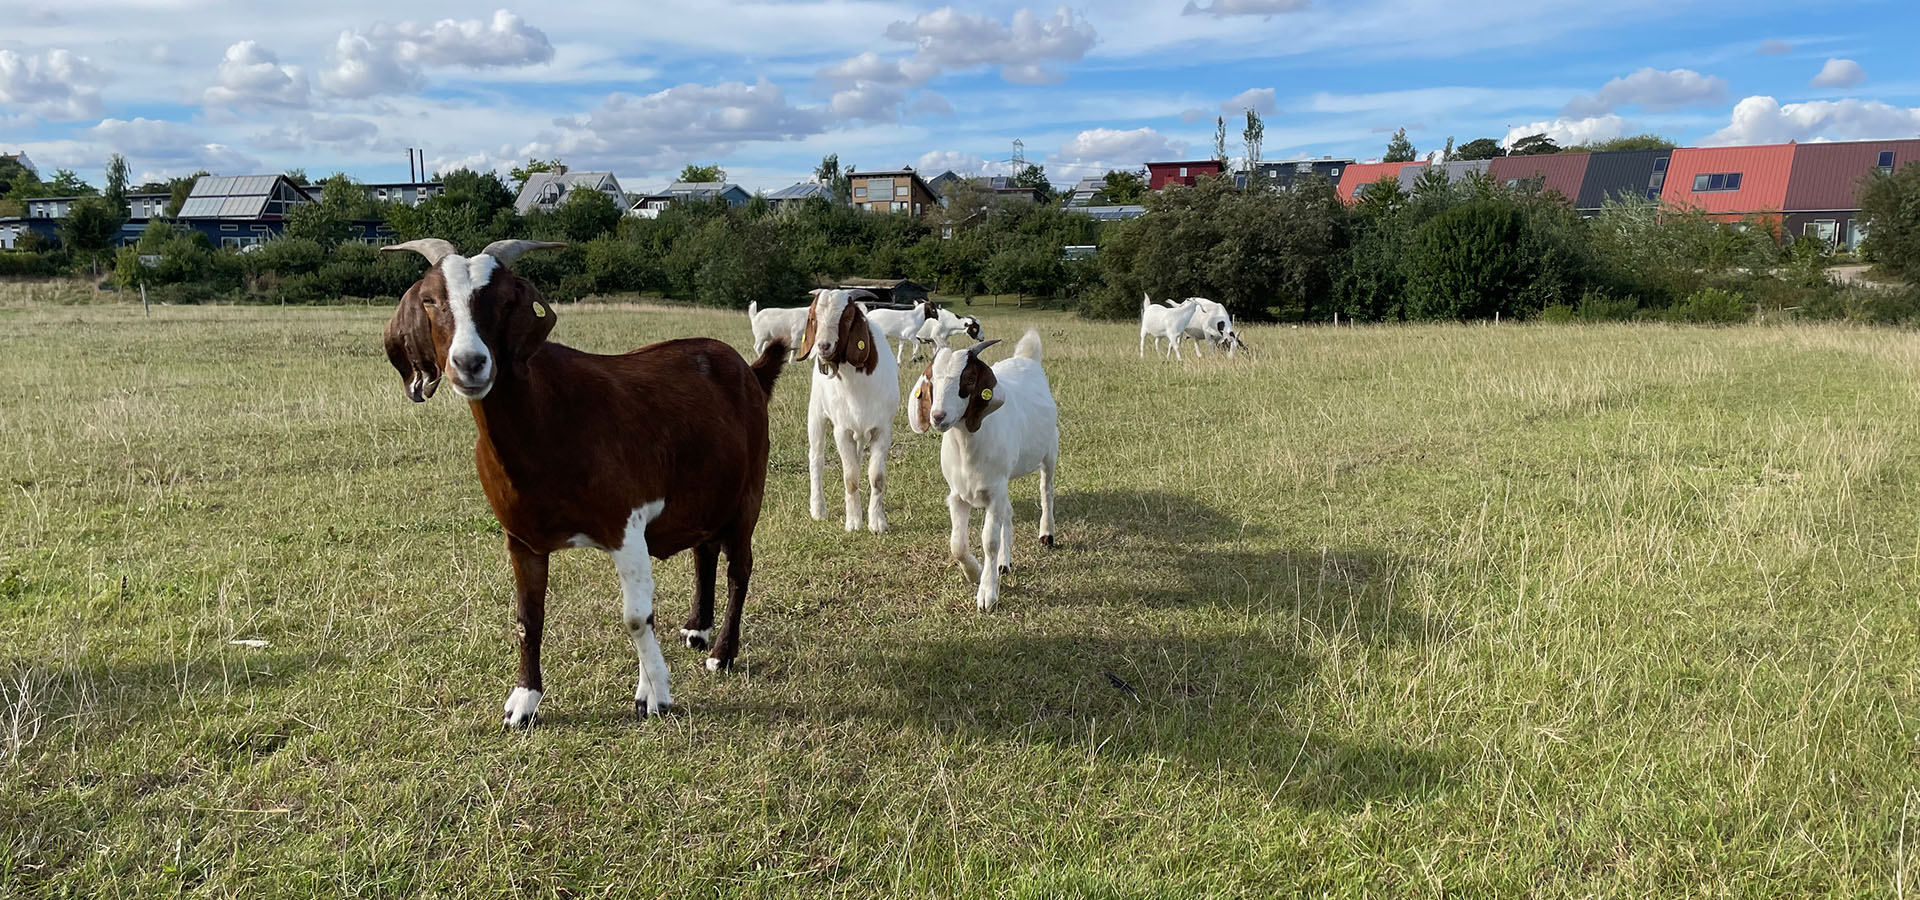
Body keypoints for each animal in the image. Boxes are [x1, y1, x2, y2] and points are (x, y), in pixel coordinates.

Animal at [382, 236, 787, 721]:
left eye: (506, 300)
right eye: (429, 299)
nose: (470, 363)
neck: (550, 418)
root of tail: (749, 371)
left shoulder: (626, 525)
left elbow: (636, 617)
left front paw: (654, 693)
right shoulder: (521, 539)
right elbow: (528, 618)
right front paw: (523, 701)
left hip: (749, 491)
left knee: (738, 567)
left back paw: (722, 652)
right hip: (706, 493)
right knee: (704, 552)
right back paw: (697, 629)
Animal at [794, 287, 898, 529]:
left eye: (847, 317)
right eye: (813, 318)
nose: (823, 346)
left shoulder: (882, 429)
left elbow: (876, 477)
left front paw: (877, 522)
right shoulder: (842, 430)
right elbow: (850, 478)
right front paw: (853, 522)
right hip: (816, 413)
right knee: (816, 458)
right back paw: (818, 509)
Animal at [906, 328, 1059, 610]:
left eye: (968, 380)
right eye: (931, 379)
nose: (938, 416)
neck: (968, 449)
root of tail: (1026, 358)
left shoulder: (994, 493)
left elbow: (990, 540)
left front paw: (987, 593)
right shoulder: (958, 495)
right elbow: (957, 544)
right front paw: (975, 573)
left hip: (1050, 451)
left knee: (1047, 490)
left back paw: (1046, 534)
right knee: (1009, 511)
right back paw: (1003, 564)